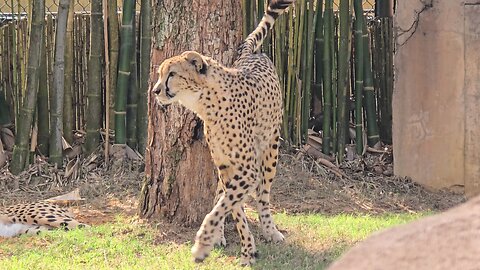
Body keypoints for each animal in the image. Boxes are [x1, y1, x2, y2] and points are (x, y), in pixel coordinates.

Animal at [152, 0, 294, 266]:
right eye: (160, 74)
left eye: (172, 74)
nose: (155, 91)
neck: (207, 103)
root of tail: (250, 53)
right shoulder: (228, 167)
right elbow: (231, 208)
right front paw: (246, 249)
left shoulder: (247, 170)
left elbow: (221, 208)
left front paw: (202, 244)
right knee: (223, 192)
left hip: (270, 148)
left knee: (263, 196)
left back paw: (270, 230)